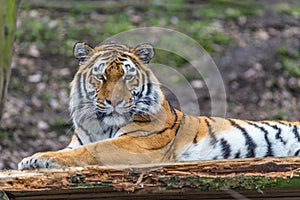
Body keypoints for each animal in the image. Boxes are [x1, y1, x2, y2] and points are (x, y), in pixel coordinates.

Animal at [17, 41, 300, 170]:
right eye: (101, 76)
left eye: (127, 76)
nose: (115, 101)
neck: (100, 126)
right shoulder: (79, 140)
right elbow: (75, 149)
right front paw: (32, 159)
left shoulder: (138, 144)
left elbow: (90, 151)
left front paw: (39, 159)